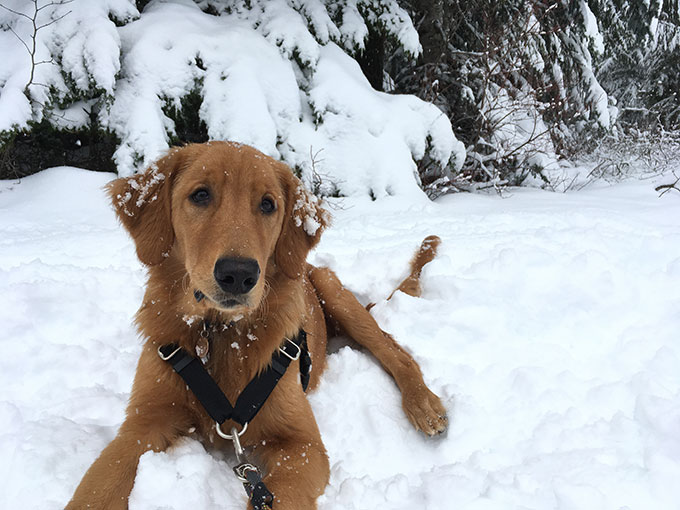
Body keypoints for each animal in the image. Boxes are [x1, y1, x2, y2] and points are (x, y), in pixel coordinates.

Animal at [66, 140, 448, 510]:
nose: (239, 274)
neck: (220, 333)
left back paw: (424, 405)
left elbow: (283, 494)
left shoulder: (301, 442)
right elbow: (97, 487)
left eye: (267, 204)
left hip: (337, 295)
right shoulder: (143, 423)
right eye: (200, 195)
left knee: (395, 351)